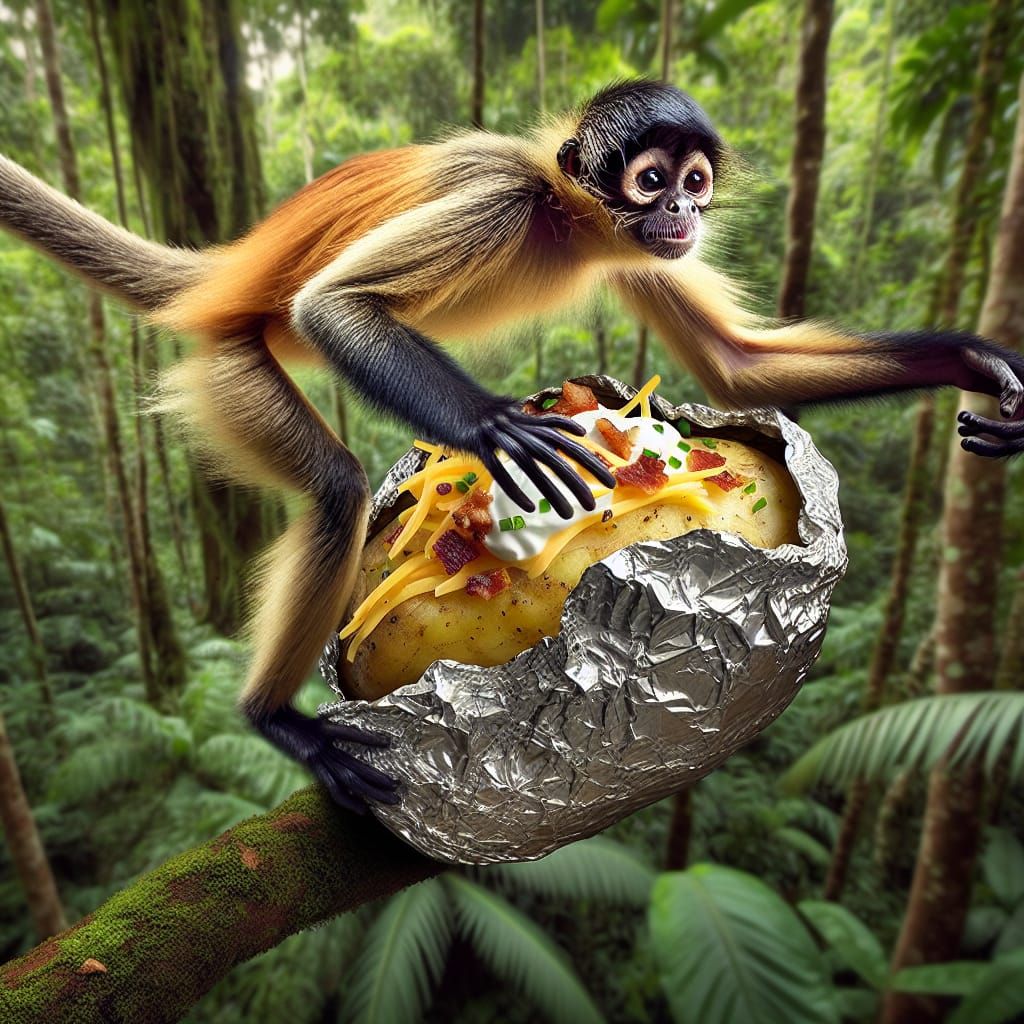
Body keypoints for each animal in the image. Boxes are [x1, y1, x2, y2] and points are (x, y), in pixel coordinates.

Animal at [2, 79, 1022, 814]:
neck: (562, 217)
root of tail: (222, 282)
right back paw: (272, 718)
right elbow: (334, 308)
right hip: (234, 368)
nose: (685, 215)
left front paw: (974, 360)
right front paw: (496, 432)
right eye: (652, 179)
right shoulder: (499, 199)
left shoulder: (639, 254)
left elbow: (737, 374)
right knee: (334, 483)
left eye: (695, 184)